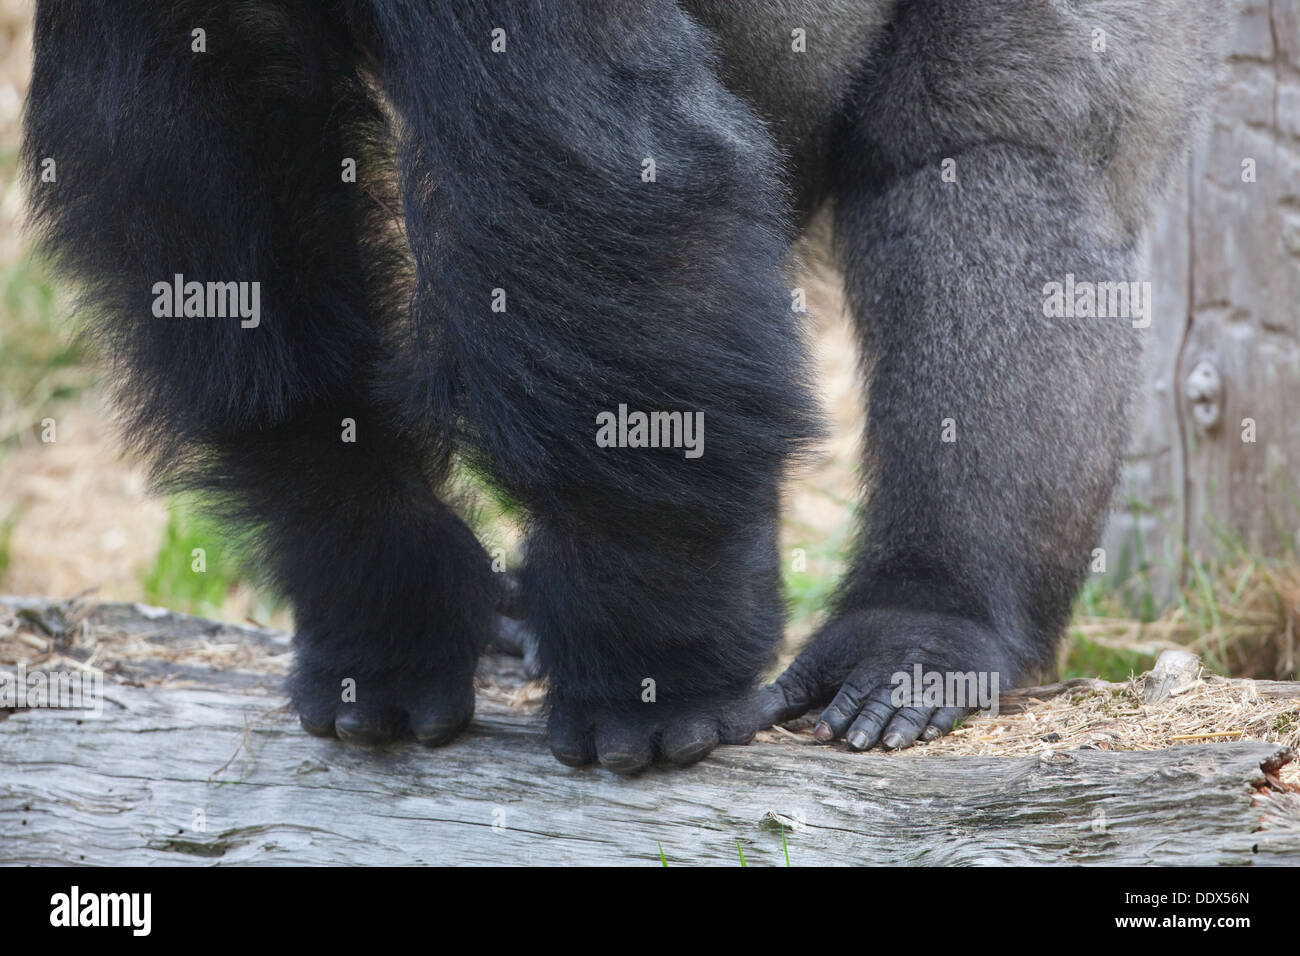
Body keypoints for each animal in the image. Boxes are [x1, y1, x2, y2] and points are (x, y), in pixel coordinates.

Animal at [25, 0, 1232, 775]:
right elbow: (214, 143)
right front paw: (380, 585)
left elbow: (602, 188)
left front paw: (651, 664)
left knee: (986, 155)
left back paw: (933, 613)